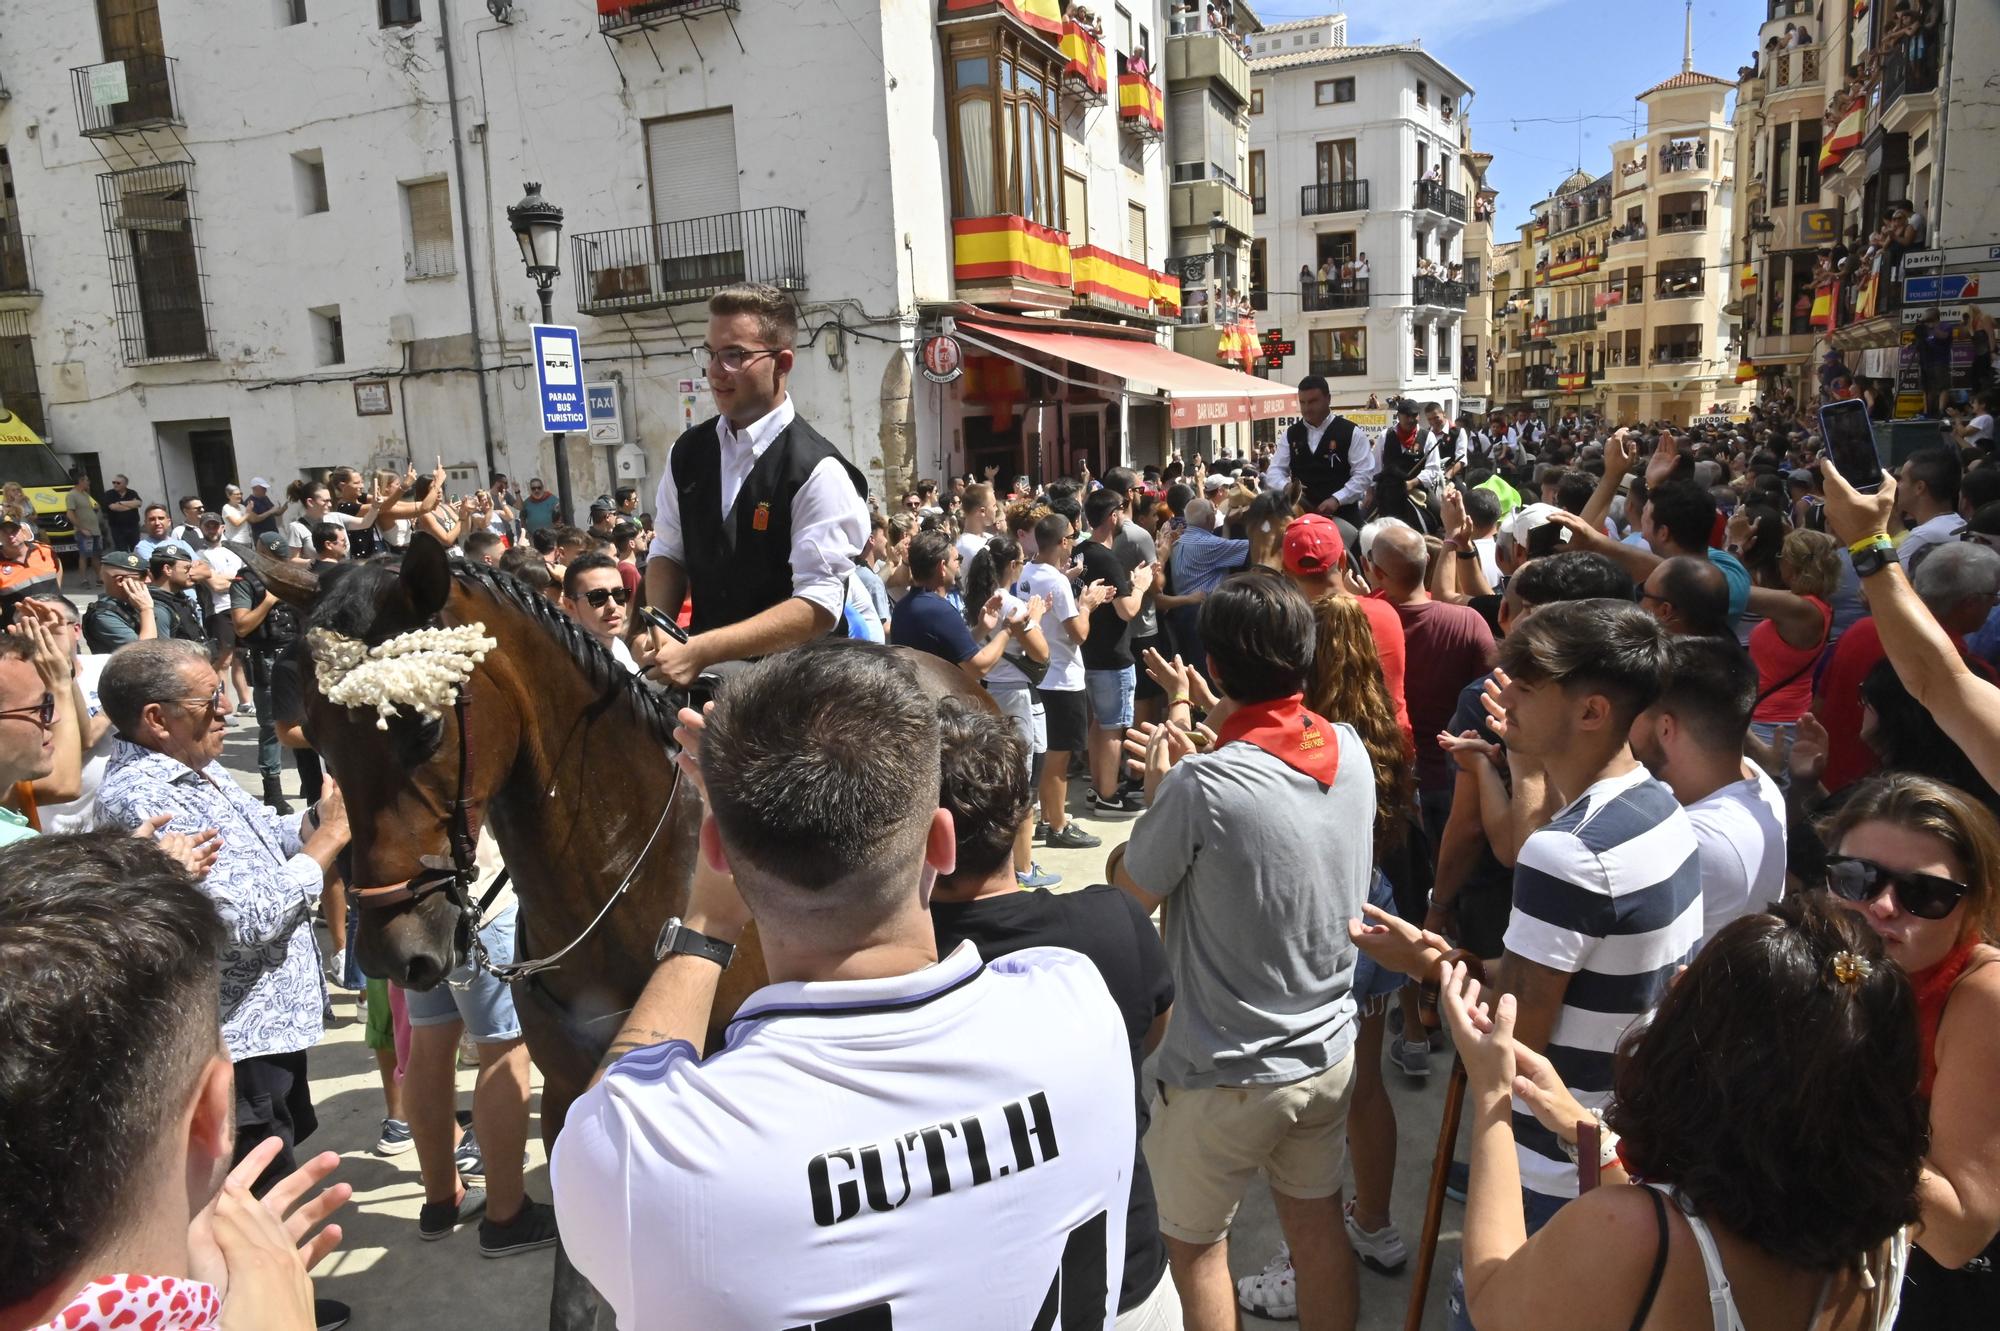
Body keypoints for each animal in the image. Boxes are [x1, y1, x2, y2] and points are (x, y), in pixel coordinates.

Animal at [258, 531, 992, 1327]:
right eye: (315, 732)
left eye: (422, 725)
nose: (394, 951)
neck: (620, 869)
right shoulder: (573, 1098)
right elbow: (578, 1294)